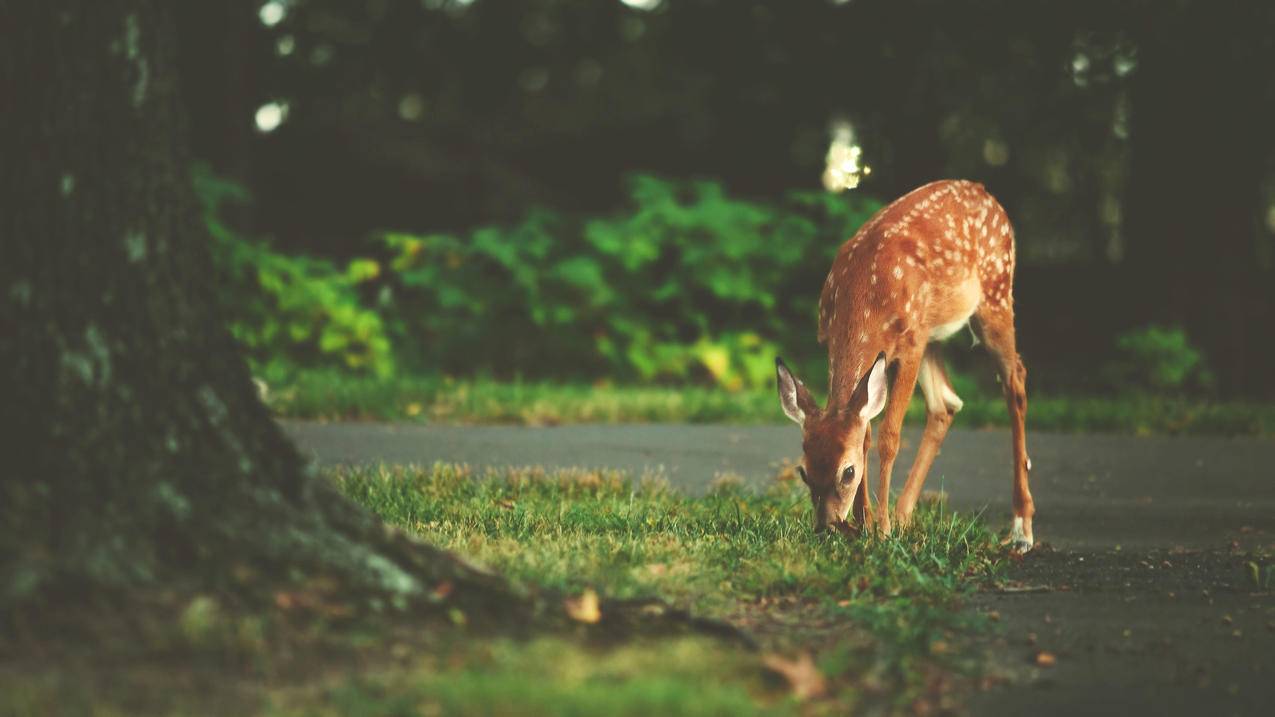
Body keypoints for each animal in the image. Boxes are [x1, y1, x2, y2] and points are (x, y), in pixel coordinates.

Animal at [775, 177, 1035, 546]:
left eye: (847, 472)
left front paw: (880, 529)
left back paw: (1021, 528)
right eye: (803, 471)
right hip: (933, 334)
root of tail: (985, 192)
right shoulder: (839, 342)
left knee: (1016, 383)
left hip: (995, 294)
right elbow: (865, 433)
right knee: (946, 403)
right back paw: (903, 516)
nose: (826, 527)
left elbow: (888, 437)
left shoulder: (909, 344)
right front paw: (865, 523)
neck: (863, 297)